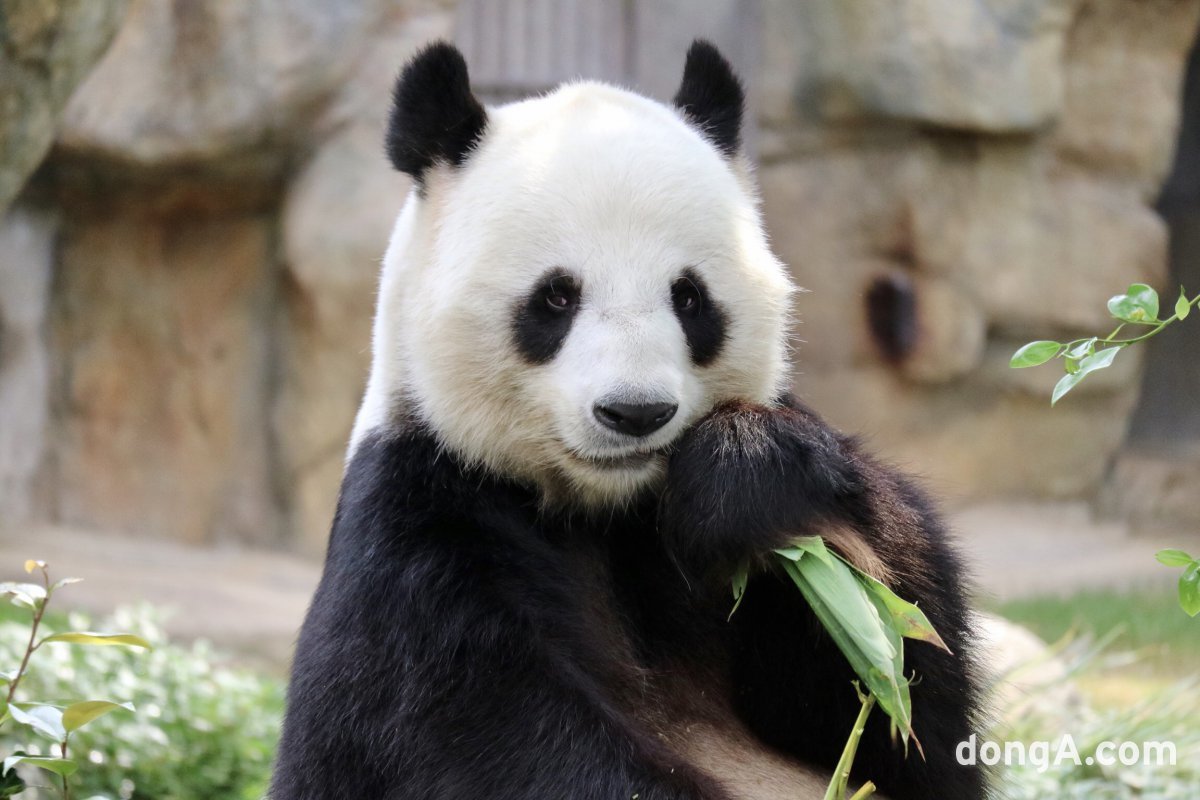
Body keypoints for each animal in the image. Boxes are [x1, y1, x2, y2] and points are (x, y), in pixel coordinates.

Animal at [272, 42, 984, 800]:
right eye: (557, 297)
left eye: (689, 297)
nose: (636, 412)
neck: (603, 514)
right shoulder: (420, 539)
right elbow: (500, 740)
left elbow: (899, 703)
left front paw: (745, 478)